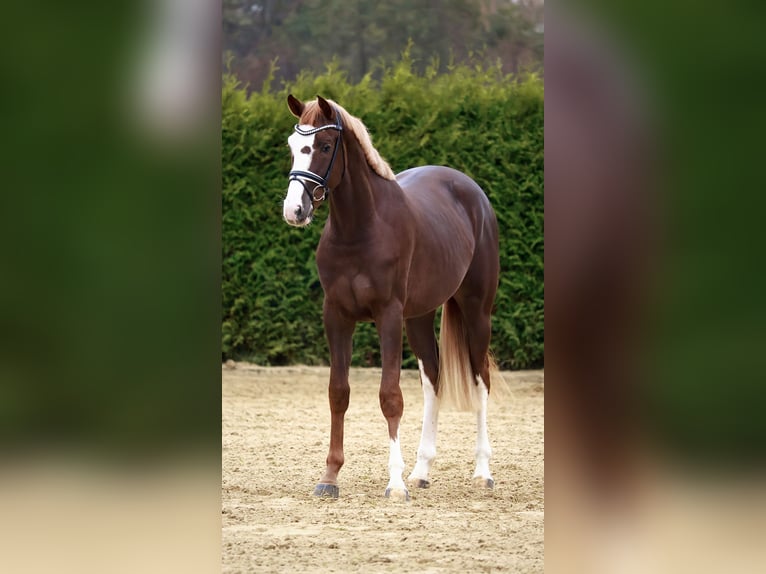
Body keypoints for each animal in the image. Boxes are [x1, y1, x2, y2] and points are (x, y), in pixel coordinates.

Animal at [282, 93, 504, 500]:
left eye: (325, 146)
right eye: (293, 147)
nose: (295, 210)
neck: (360, 228)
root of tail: (472, 192)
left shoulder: (388, 316)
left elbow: (390, 396)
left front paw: (395, 483)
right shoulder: (336, 316)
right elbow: (338, 392)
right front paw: (330, 477)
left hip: (477, 311)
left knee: (481, 379)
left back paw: (482, 472)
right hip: (419, 318)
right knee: (433, 380)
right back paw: (422, 470)